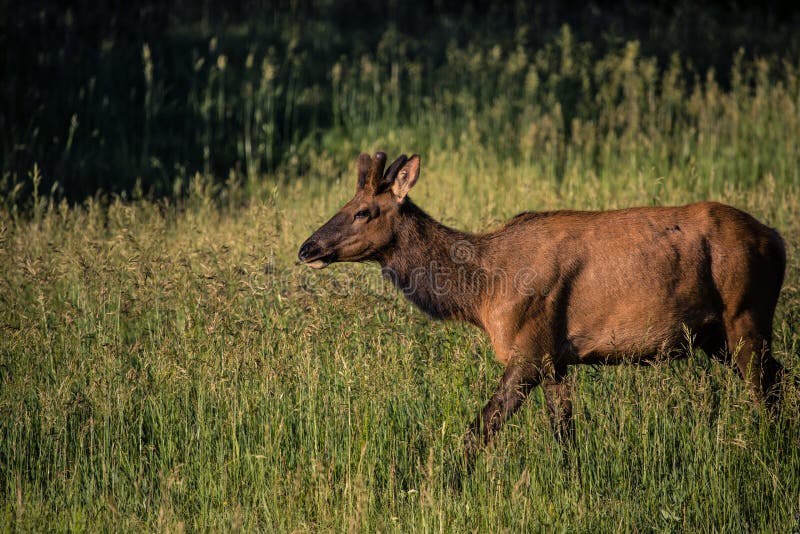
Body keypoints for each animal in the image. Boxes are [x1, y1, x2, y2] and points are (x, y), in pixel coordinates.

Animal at [298, 151, 786, 465]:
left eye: (363, 211)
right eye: (345, 204)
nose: (307, 248)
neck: (481, 293)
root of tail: (777, 238)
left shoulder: (529, 348)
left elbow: (480, 430)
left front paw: (441, 481)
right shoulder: (556, 358)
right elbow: (564, 434)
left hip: (746, 315)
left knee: (767, 387)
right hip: (714, 336)